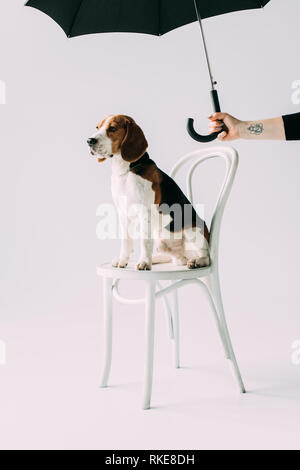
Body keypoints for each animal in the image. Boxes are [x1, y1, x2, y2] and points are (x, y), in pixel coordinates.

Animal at [88, 114, 210, 272]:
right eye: (97, 127)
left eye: (113, 128)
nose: (89, 141)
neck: (126, 171)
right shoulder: (123, 213)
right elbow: (126, 241)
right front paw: (123, 260)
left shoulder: (144, 212)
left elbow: (145, 241)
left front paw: (144, 262)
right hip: (161, 243)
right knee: (180, 259)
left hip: (192, 230)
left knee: (206, 257)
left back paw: (197, 261)